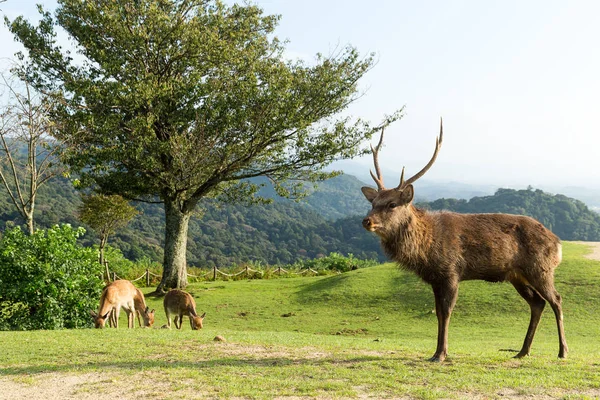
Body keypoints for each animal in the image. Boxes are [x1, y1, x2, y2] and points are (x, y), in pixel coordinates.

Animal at [360, 119, 568, 362]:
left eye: (392, 204)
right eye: (373, 203)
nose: (366, 221)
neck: (426, 248)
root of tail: (558, 243)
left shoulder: (452, 272)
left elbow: (447, 312)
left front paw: (441, 354)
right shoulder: (435, 278)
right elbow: (438, 313)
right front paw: (435, 352)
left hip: (540, 268)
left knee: (556, 299)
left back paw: (562, 351)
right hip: (517, 275)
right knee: (537, 303)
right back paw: (522, 351)